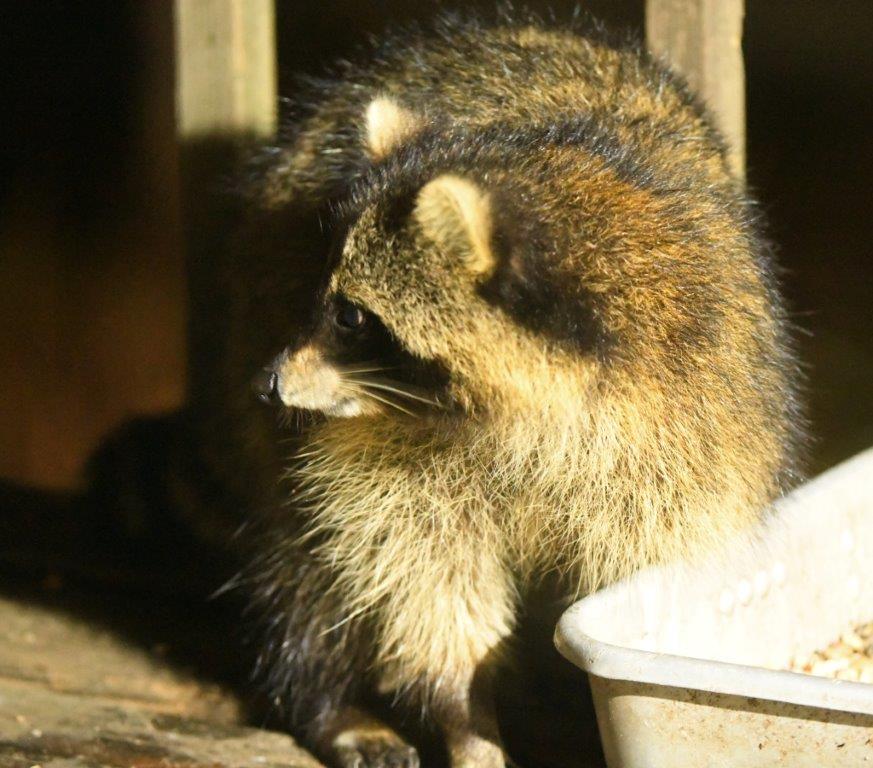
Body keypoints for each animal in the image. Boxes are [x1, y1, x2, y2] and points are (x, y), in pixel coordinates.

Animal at [199, 15, 802, 768]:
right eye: (328, 300)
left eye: (351, 317)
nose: (268, 381)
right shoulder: (390, 458)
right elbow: (419, 572)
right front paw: (465, 714)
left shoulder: (693, 425)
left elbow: (640, 584)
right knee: (302, 557)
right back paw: (327, 698)